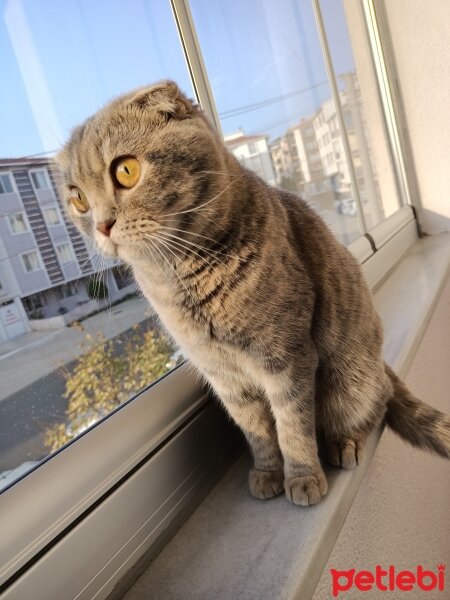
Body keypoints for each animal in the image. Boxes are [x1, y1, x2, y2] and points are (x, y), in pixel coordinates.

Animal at [56, 81, 450, 506]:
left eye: (126, 170)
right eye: (78, 198)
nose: (101, 225)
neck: (182, 278)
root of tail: (380, 362)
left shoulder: (287, 356)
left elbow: (292, 424)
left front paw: (303, 477)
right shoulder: (225, 378)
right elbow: (257, 431)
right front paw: (267, 473)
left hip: (351, 378)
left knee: (375, 405)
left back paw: (344, 444)